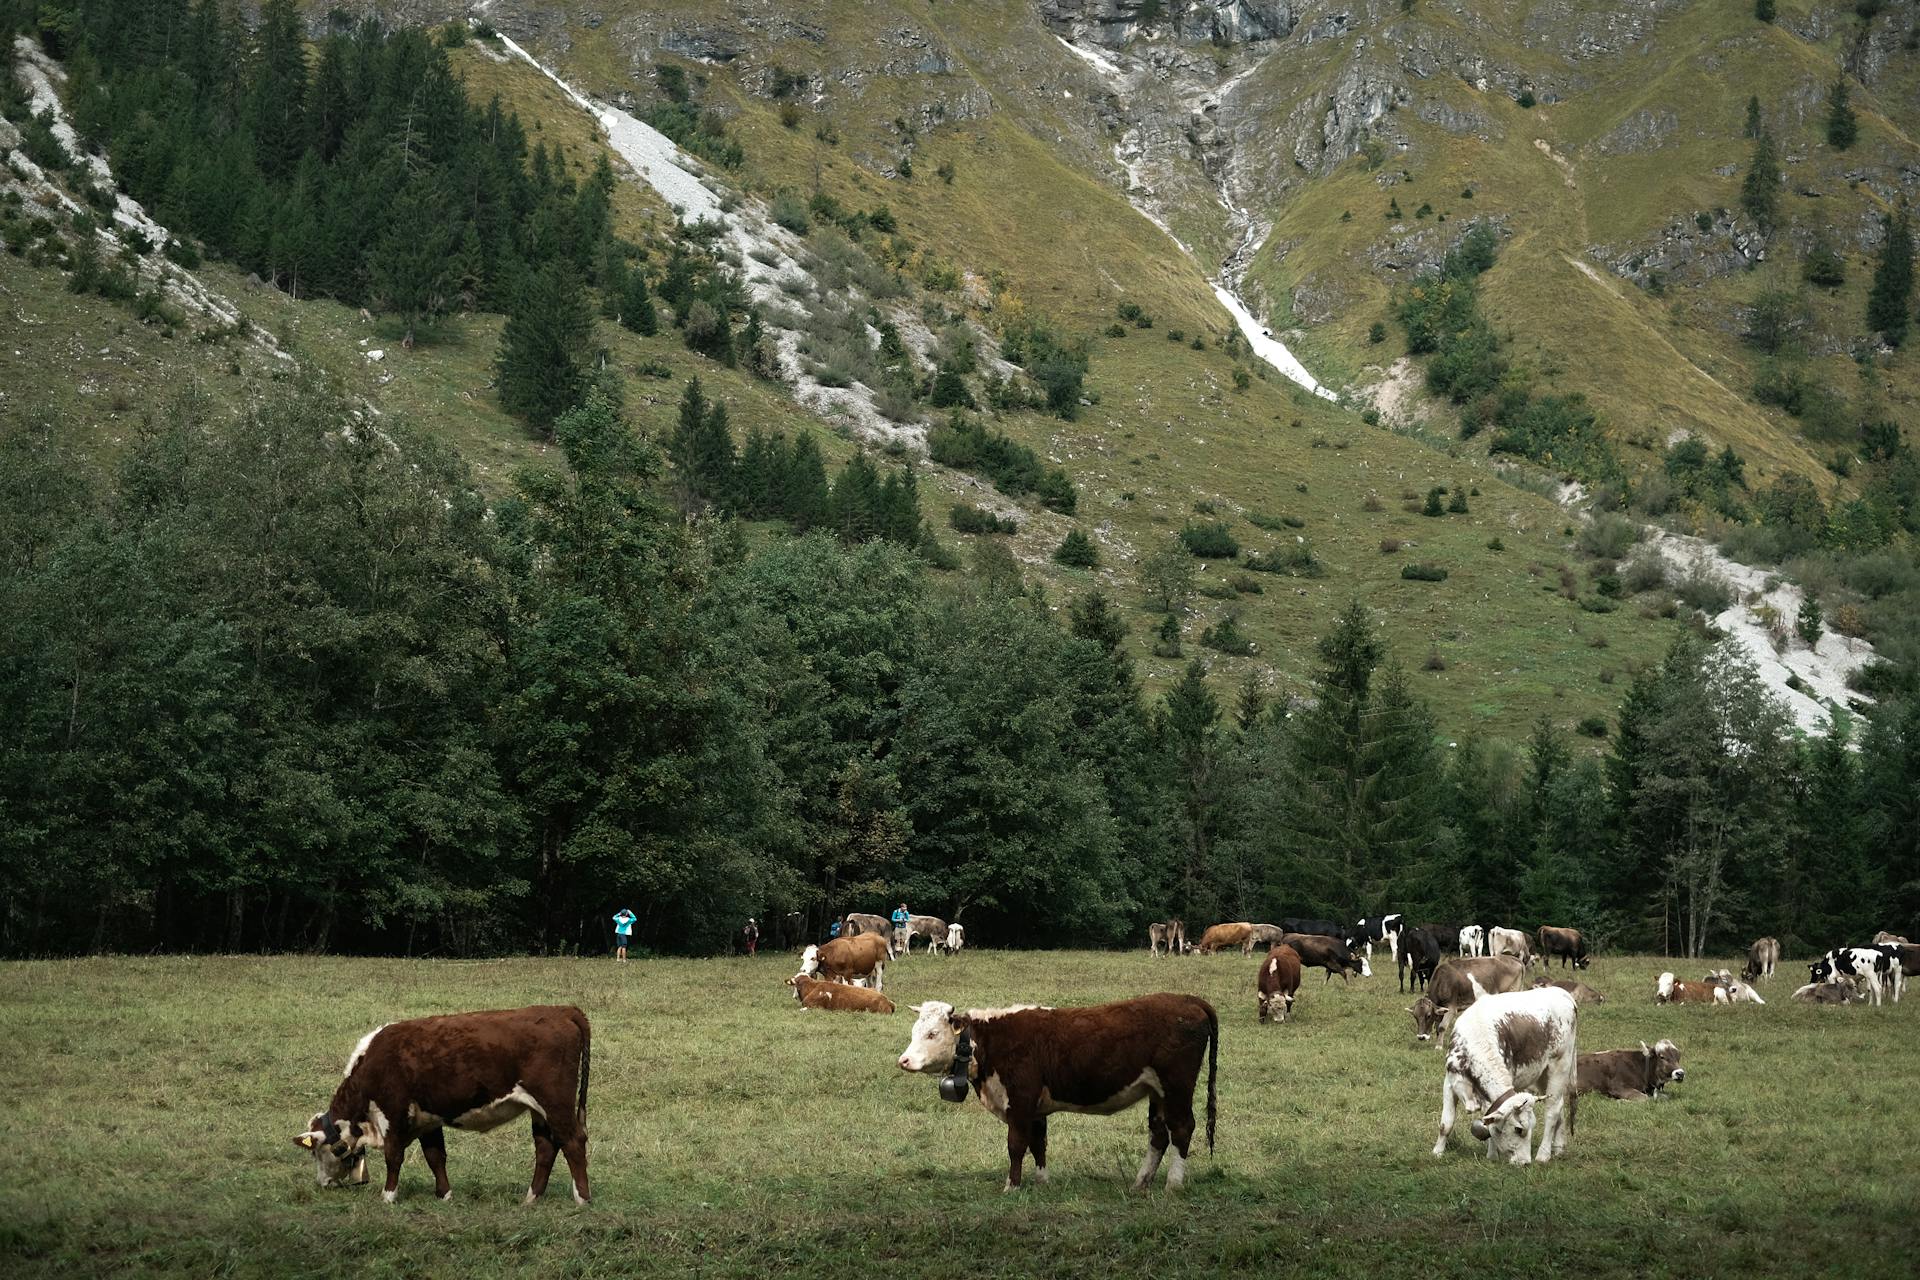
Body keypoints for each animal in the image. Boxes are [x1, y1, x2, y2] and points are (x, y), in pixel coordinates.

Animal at [291, 1005, 587, 1205]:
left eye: (317, 1152)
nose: (323, 1183)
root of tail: (561, 1010)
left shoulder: (393, 1113)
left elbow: (393, 1156)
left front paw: (388, 1196)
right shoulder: (428, 1119)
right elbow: (435, 1157)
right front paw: (445, 1195)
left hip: (555, 1102)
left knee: (573, 1142)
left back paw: (582, 1198)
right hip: (540, 1110)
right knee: (546, 1148)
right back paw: (531, 1198)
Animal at [894, 997, 1213, 1197]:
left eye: (933, 1034)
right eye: (914, 1031)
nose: (904, 1060)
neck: (989, 1043)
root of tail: (1188, 999)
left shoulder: (1020, 1102)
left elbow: (1016, 1146)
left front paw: (1012, 1185)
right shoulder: (1035, 1110)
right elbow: (1039, 1145)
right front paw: (1041, 1181)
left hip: (1177, 1088)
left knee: (1182, 1130)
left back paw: (1173, 1184)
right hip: (1157, 1093)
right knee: (1158, 1135)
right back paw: (1141, 1182)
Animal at [1428, 982, 1574, 1174]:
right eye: (1519, 1129)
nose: (1525, 1162)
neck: (1477, 1037)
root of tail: (1563, 993)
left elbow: (1489, 1121)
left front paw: (1492, 1155)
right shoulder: (1450, 1083)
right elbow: (1446, 1123)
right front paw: (1437, 1152)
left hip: (1560, 1065)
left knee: (1553, 1109)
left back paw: (1544, 1154)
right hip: (1543, 1075)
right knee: (1560, 1106)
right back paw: (1558, 1148)